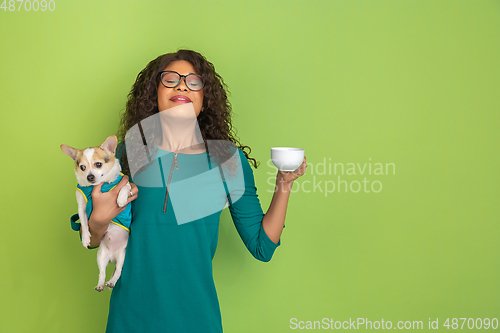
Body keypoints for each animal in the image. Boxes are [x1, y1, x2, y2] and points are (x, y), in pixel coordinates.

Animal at [60, 135, 132, 290]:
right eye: (82, 167)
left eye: (98, 164)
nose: (90, 177)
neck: (100, 185)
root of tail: (112, 257)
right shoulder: (81, 206)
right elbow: (84, 222)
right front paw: (86, 237)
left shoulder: (128, 185)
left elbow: (124, 187)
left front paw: (121, 200)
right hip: (102, 256)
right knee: (102, 273)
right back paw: (101, 285)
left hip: (123, 256)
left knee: (118, 271)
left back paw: (111, 282)